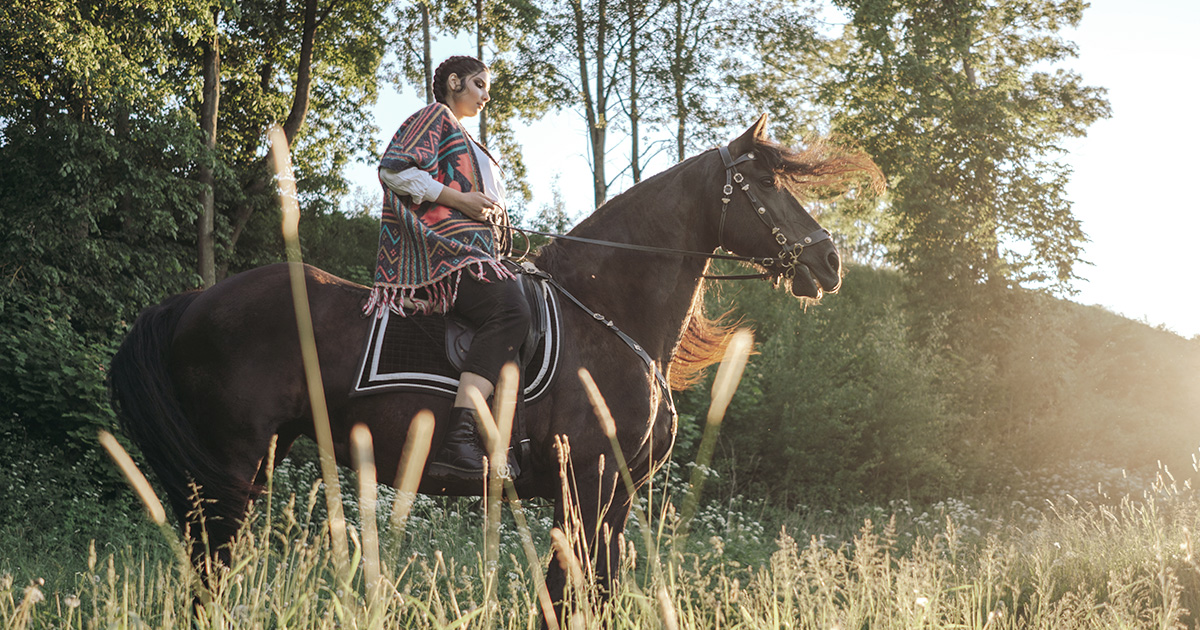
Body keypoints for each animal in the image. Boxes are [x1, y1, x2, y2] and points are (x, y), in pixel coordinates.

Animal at [109, 115, 882, 623]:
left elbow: (583, 594)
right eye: (762, 183)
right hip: (230, 470)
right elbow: (577, 595)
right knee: (206, 577)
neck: (610, 310)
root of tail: (197, 300)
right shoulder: (589, 482)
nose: (829, 260)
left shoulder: (613, 495)